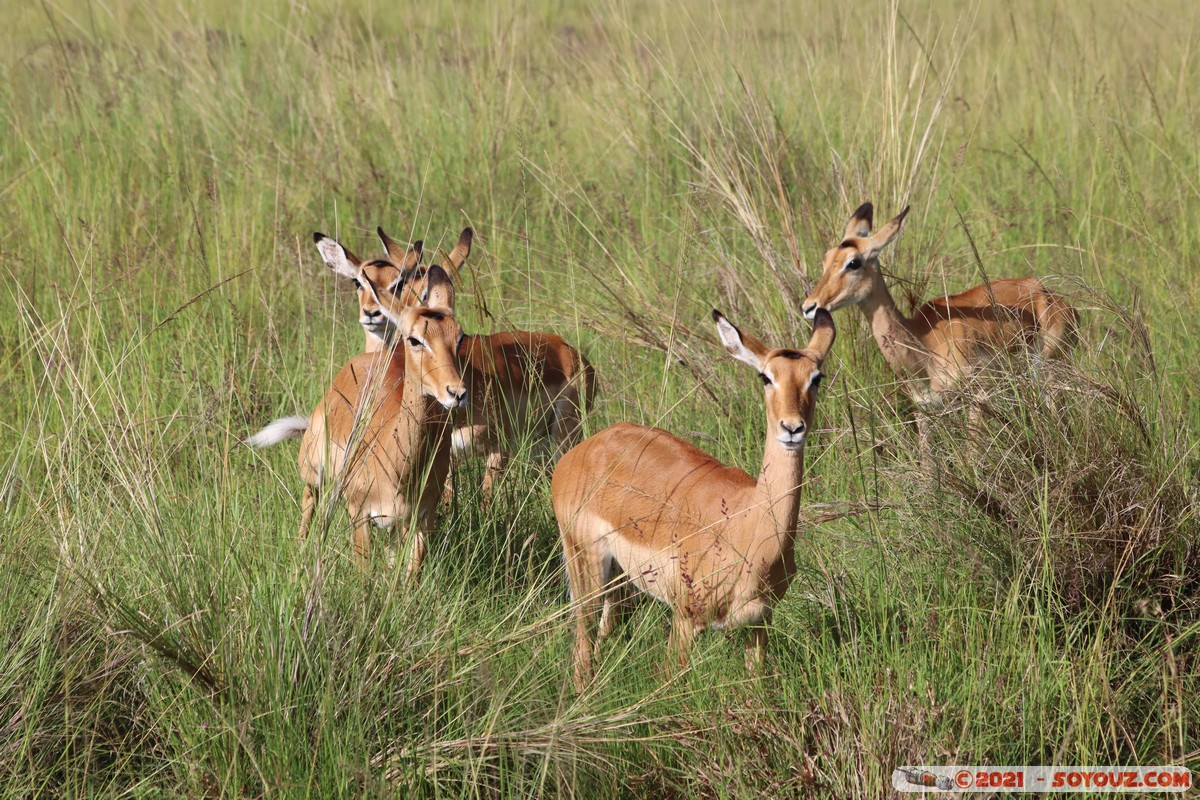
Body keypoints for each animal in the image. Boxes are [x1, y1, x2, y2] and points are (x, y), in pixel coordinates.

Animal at [245, 264, 467, 577]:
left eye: (459, 337)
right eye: (415, 338)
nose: (456, 392)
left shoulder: (420, 520)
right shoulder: (358, 514)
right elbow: (364, 574)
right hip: (314, 474)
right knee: (308, 504)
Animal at [319, 225, 597, 500]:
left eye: (460, 337)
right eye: (357, 281)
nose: (372, 313)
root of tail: (574, 355)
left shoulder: (499, 448)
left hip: (563, 435)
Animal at [552, 308, 836, 691]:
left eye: (816, 378)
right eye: (766, 376)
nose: (792, 428)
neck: (748, 524)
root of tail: (579, 453)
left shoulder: (759, 623)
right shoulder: (686, 618)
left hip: (618, 581)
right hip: (586, 569)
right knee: (582, 646)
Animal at [801, 202, 1078, 455]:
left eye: (853, 262)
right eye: (826, 259)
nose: (809, 306)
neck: (922, 344)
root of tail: (1048, 293)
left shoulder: (979, 396)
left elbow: (973, 455)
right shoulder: (925, 410)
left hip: (1050, 373)